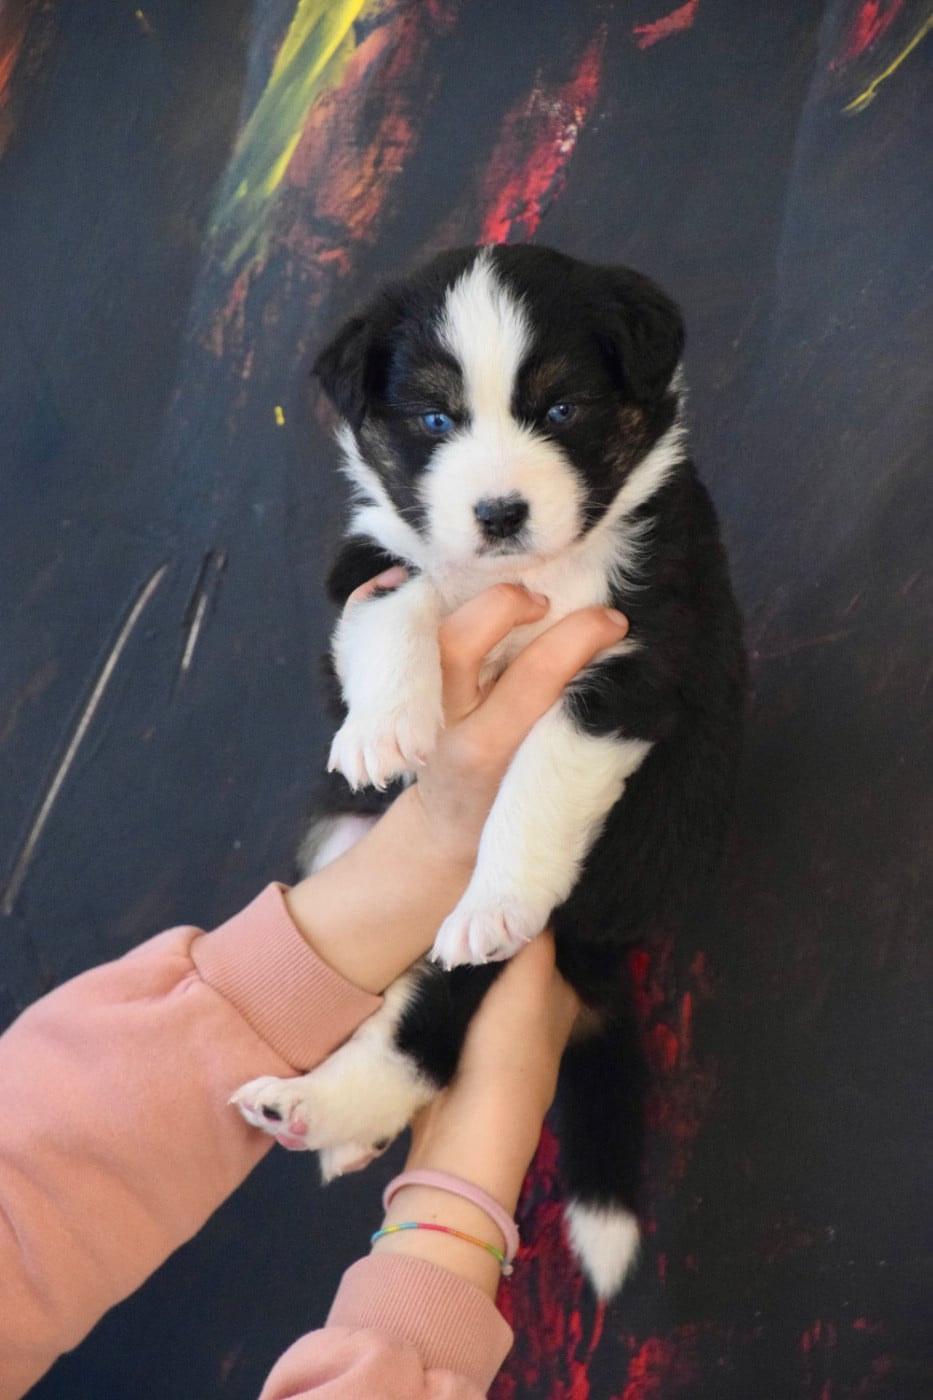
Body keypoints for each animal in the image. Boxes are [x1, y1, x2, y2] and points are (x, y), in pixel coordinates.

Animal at [233, 244, 746, 1298]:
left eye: (560, 409)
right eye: (434, 421)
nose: (499, 513)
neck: (530, 578)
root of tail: (605, 949)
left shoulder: (632, 657)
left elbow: (539, 782)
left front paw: (495, 895)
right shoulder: (369, 560)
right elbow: (404, 599)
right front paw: (384, 728)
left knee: (424, 1034)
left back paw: (315, 1109)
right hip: (338, 839)